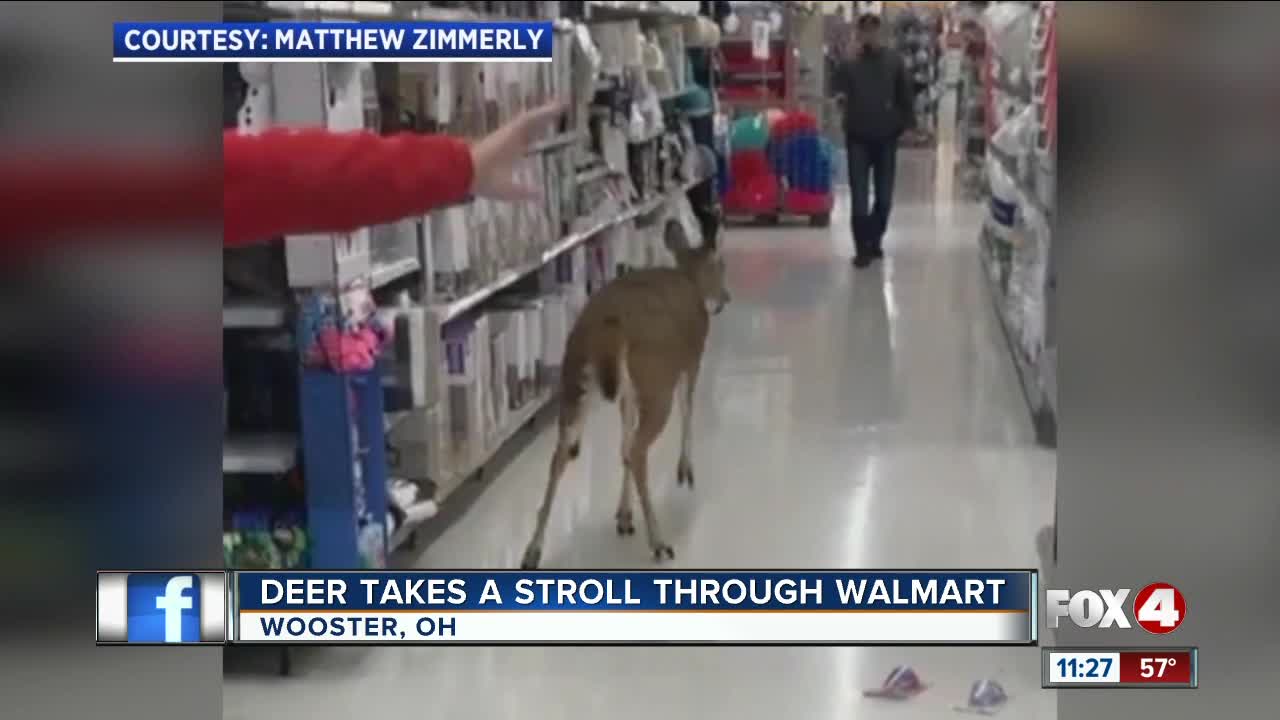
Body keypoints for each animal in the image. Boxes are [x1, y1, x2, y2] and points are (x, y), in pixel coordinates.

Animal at [519, 219, 732, 566]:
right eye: (720, 265)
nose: (726, 297)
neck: (689, 277)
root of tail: (609, 327)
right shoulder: (691, 362)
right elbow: (687, 409)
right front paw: (685, 470)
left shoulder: (626, 395)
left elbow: (623, 442)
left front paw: (623, 514)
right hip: (656, 383)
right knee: (640, 449)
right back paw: (659, 542)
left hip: (575, 384)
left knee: (562, 454)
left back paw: (532, 551)